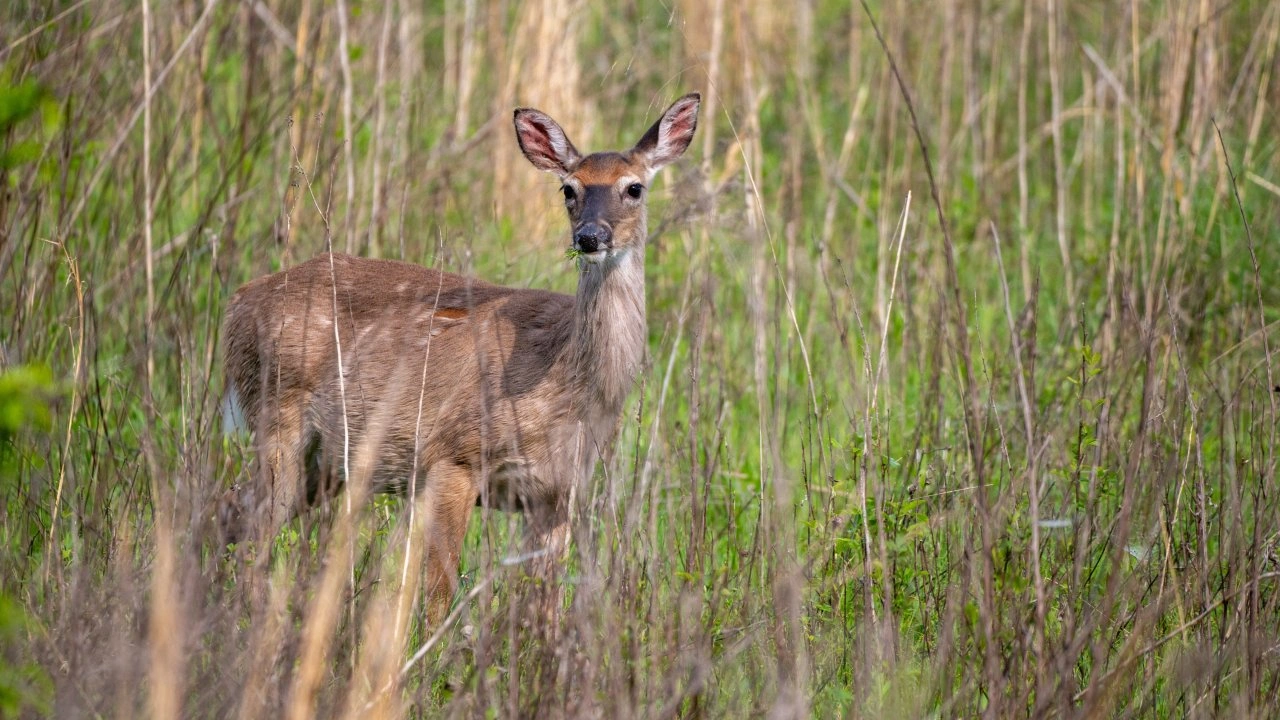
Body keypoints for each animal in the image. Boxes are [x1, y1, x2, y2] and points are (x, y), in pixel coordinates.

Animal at [218, 93, 701, 620]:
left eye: (634, 187)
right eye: (568, 190)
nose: (590, 237)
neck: (566, 387)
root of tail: (237, 301)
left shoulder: (557, 493)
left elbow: (545, 609)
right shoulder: (453, 457)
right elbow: (437, 593)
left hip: (324, 462)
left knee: (231, 515)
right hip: (277, 419)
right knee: (253, 532)